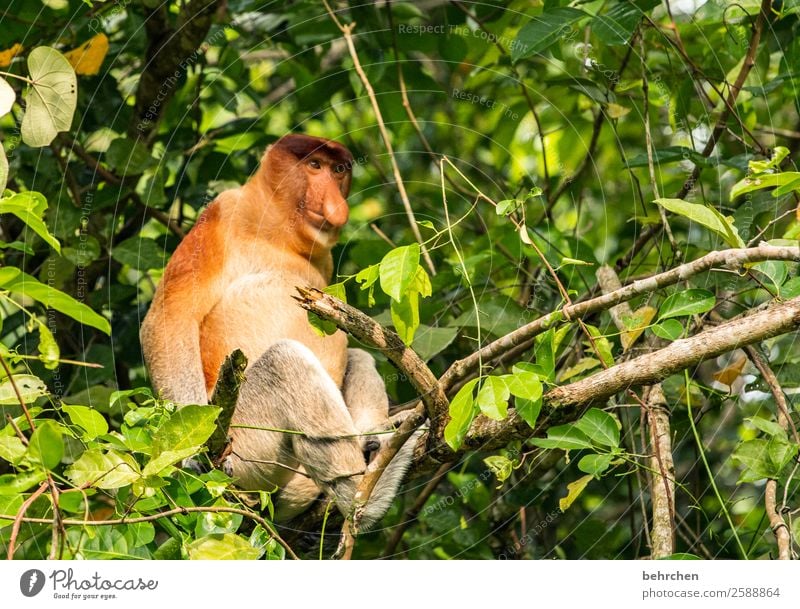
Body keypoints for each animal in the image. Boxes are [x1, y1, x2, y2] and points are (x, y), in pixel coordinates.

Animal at [143, 134, 416, 528]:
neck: (279, 233)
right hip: (246, 441)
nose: (336, 206)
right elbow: (171, 315)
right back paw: (361, 496)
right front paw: (191, 454)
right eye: (314, 166)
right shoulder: (222, 214)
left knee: (359, 357)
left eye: (339, 170)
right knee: (284, 361)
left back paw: (372, 445)